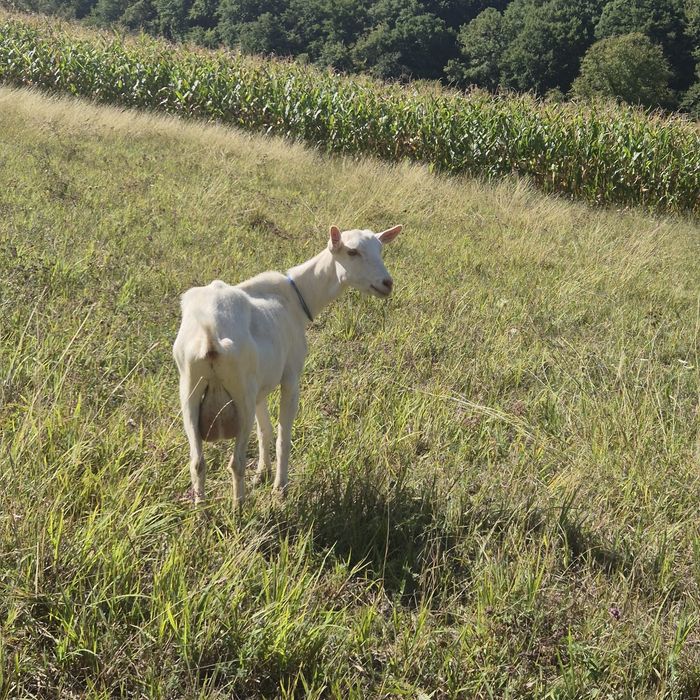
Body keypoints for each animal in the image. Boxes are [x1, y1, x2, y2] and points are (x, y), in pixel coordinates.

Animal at [172, 224, 402, 505]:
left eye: (380, 249)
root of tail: (210, 336)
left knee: (197, 462)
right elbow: (283, 435)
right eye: (352, 252)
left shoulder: (261, 387)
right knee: (236, 463)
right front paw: (279, 486)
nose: (387, 283)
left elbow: (265, 430)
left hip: (190, 391)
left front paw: (262, 473)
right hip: (241, 394)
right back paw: (239, 508)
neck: (296, 297)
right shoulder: (291, 376)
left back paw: (202, 510)